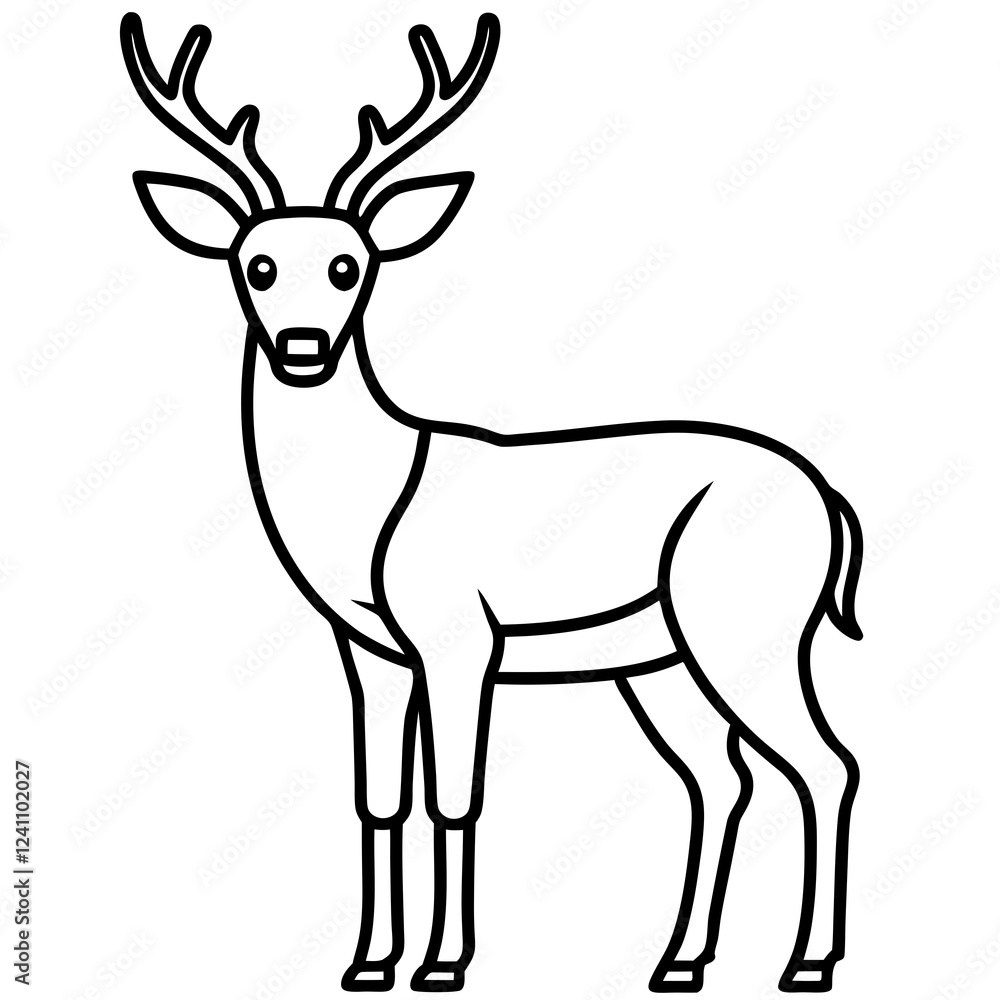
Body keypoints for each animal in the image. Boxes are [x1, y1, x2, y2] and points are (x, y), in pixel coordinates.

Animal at [122, 11, 863, 993]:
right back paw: (679, 962)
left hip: (748, 625)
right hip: (659, 659)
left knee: (824, 764)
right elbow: (379, 797)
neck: (374, 505)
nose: (303, 346)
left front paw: (443, 964)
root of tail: (829, 496)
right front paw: (368, 964)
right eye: (258, 264)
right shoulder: (370, 650)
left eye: (351, 265)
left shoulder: (459, 637)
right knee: (720, 776)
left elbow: (454, 796)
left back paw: (807, 964)